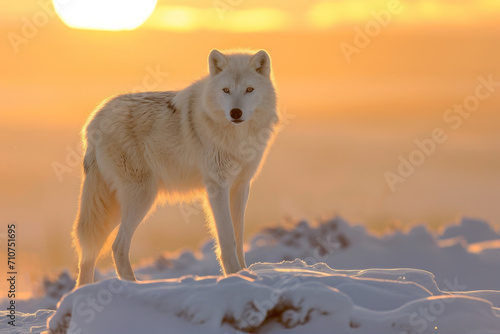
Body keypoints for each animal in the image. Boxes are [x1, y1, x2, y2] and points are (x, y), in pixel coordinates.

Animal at [74, 48, 280, 286]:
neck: (237, 137)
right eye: (226, 90)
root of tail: (94, 120)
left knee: (90, 252)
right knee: (117, 247)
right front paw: (235, 276)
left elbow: (238, 236)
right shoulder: (217, 187)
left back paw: (84, 290)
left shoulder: (240, 186)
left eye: (249, 90)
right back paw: (134, 287)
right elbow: (227, 238)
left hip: (114, 206)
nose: (235, 113)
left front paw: (244, 274)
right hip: (141, 197)